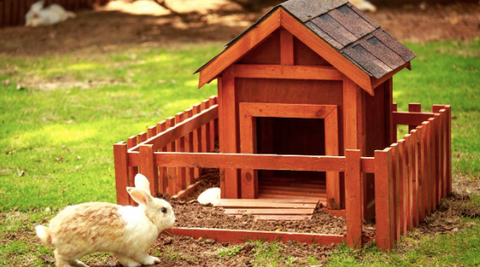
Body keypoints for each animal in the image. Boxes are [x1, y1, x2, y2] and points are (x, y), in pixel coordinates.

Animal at [35, 174, 174, 267]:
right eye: (164, 210)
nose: (174, 220)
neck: (148, 218)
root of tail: (51, 234)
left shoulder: (121, 249)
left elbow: (126, 260)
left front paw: (134, 265)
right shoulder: (138, 249)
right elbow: (143, 258)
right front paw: (154, 260)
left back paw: (82, 265)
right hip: (74, 248)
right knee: (59, 257)